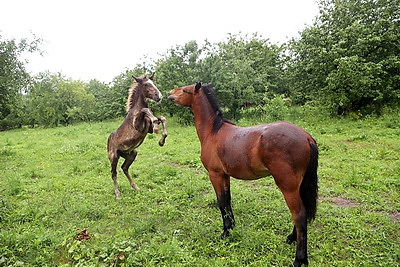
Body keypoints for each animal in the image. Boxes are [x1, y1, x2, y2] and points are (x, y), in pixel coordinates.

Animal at [168, 82, 318, 266]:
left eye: (184, 90)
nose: (168, 93)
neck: (213, 132)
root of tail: (306, 137)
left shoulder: (215, 175)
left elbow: (221, 202)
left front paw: (225, 233)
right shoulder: (225, 176)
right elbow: (227, 201)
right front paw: (231, 228)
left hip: (288, 186)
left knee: (299, 215)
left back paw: (299, 259)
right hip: (300, 185)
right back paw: (291, 238)